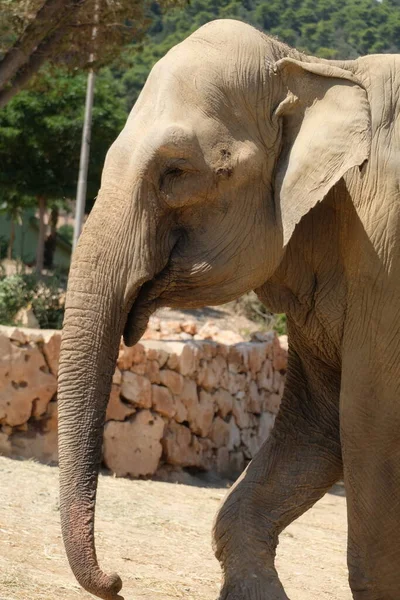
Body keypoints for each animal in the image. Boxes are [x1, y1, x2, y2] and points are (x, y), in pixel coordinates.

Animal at [57, 16, 400, 600]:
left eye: (174, 171)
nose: (117, 579)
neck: (311, 67)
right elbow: (321, 421)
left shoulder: (387, 258)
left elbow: (370, 423)